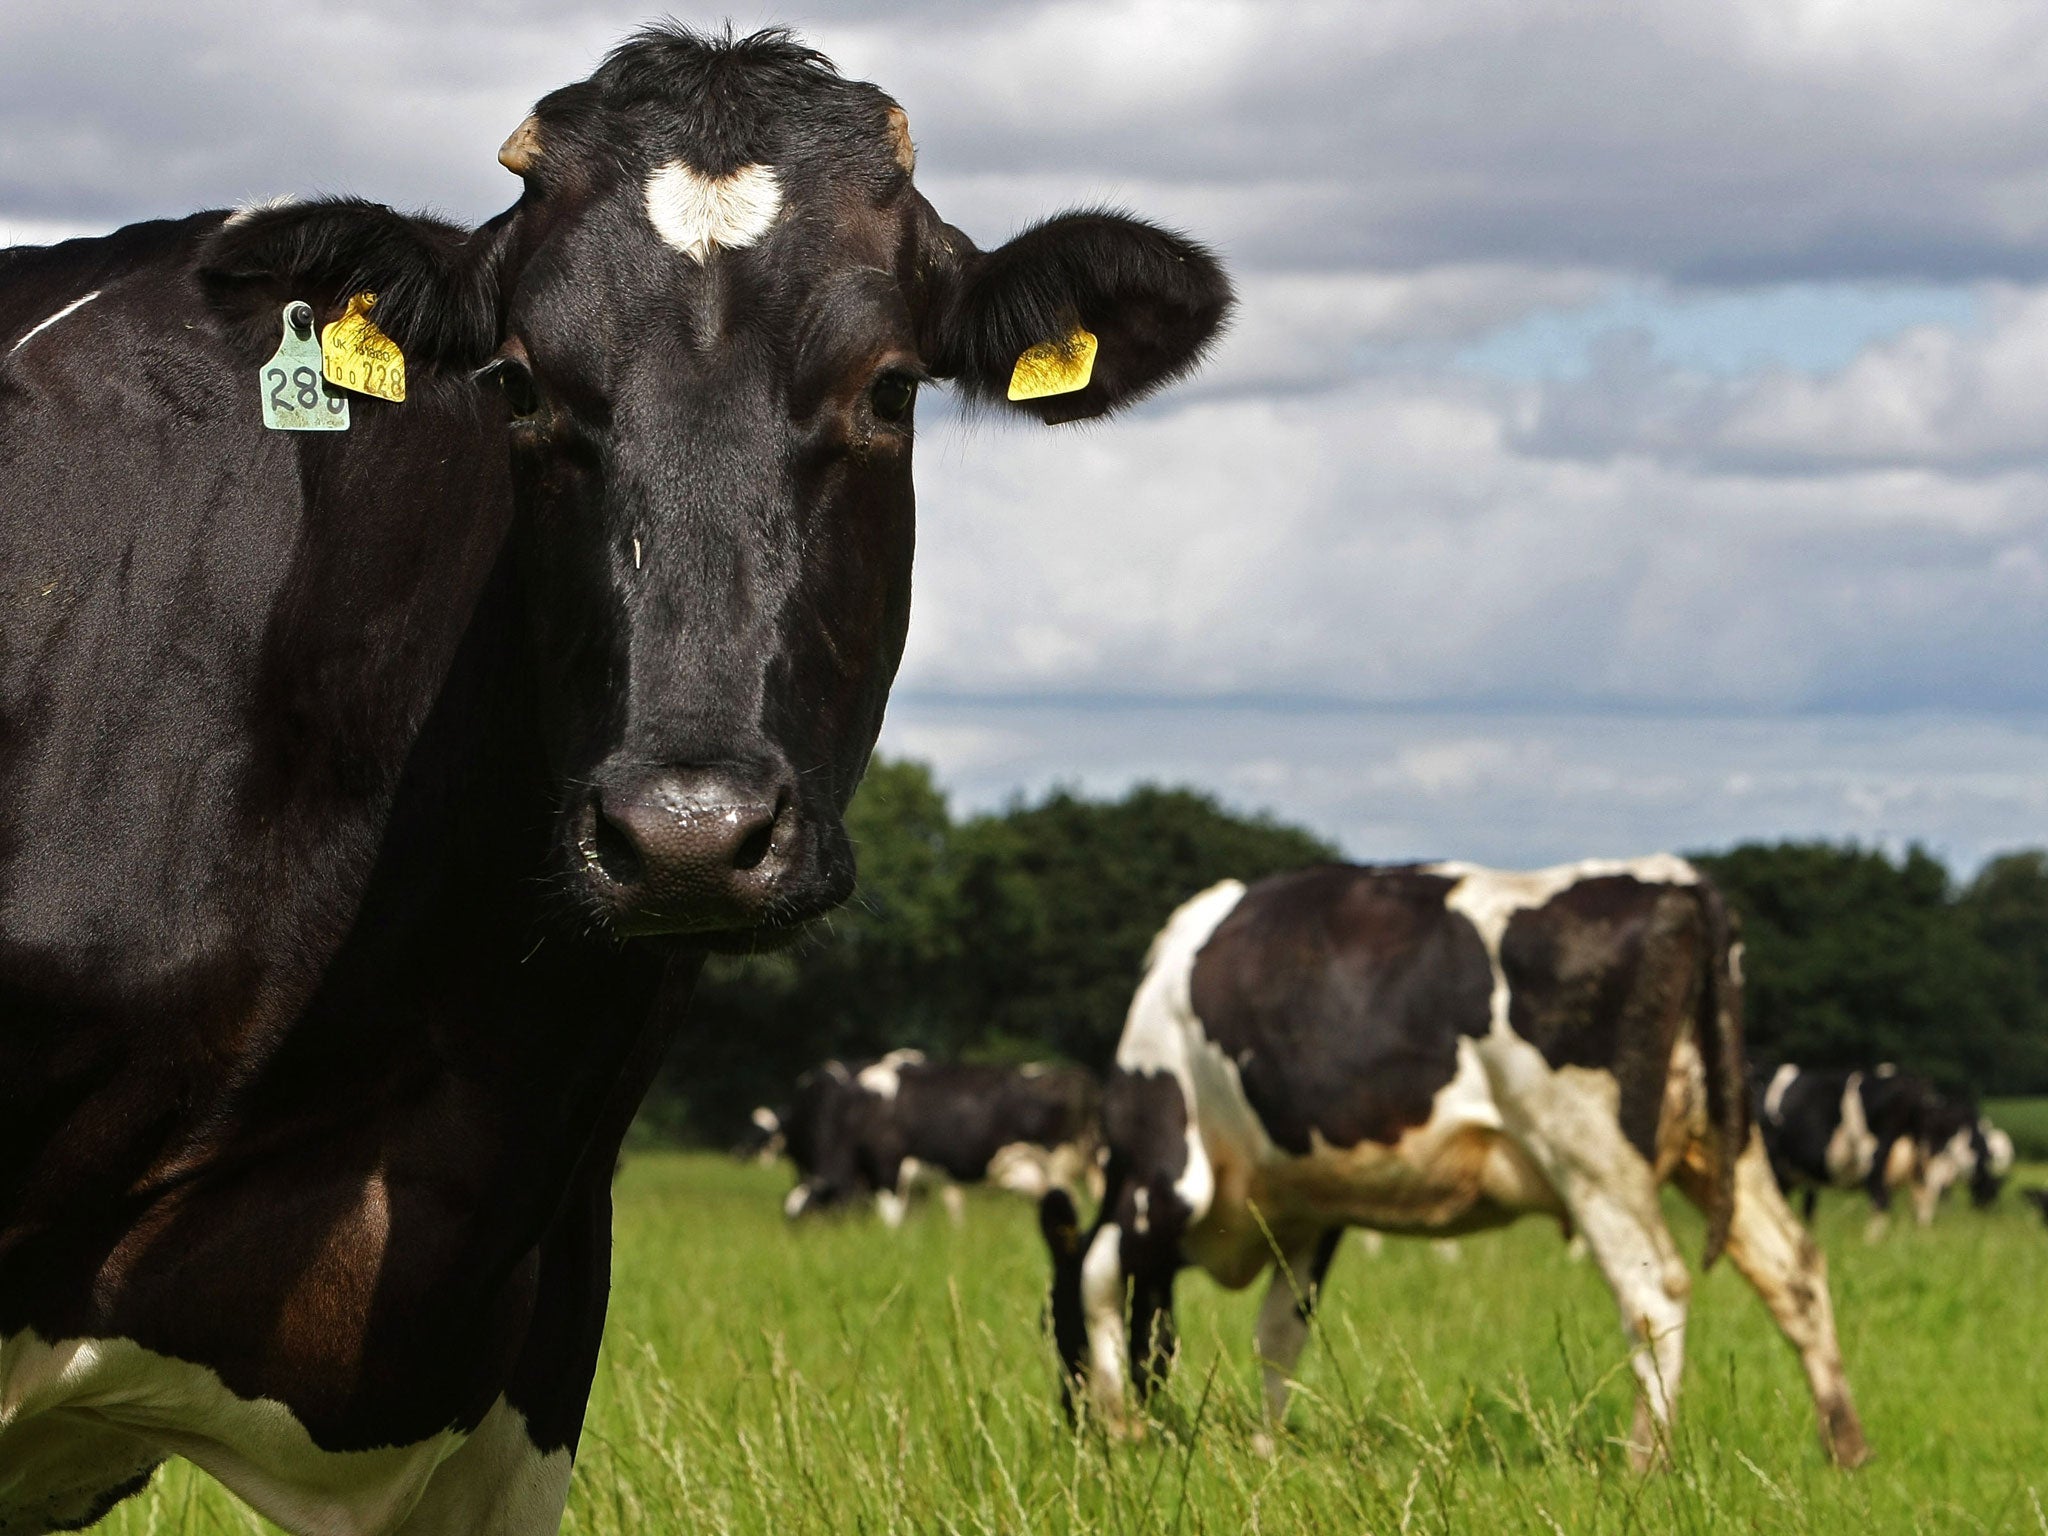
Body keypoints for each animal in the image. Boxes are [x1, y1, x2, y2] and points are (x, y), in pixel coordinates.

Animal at [782, 1056, 1105, 1228]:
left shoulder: (888, 1167)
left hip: (1057, 1165)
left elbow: (891, 1220)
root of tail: (1080, 1075)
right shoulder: (915, 1183)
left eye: (811, 1216)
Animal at [1048, 860, 1867, 1474]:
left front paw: (1120, 1427)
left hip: (1593, 1154)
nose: (1069, 1420)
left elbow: (1097, 1276)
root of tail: (1673, 881)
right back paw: (1845, 1449)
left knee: (1655, 1291)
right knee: (1794, 1271)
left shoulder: (1167, 1174)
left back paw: (1645, 1462)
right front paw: (1266, 1448)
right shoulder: (1309, 1211)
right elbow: (1280, 1330)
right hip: (1721, 1141)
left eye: (1045, 1322)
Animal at [1744, 1064, 2015, 1236]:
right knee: (1921, 1198)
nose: (1984, 1211)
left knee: (1884, 1199)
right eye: (1991, 1193)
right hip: (1919, 1160)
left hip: (1875, 1155)